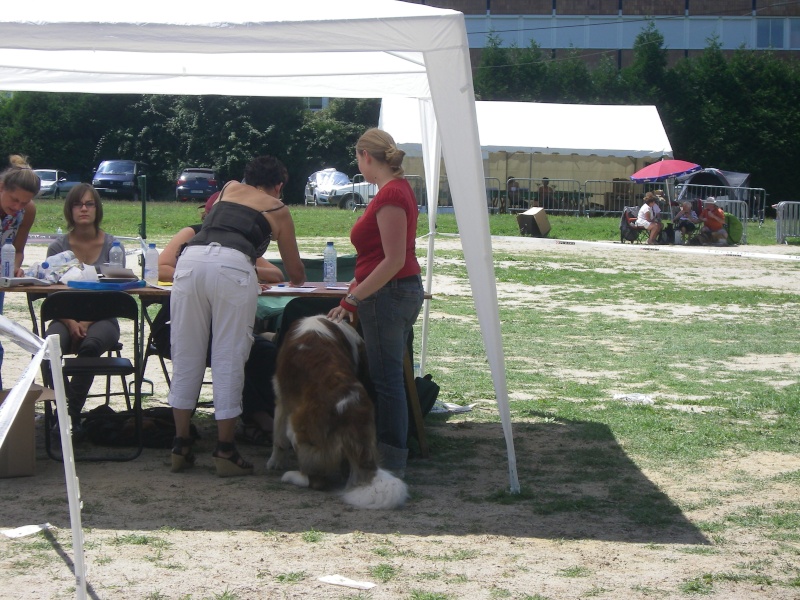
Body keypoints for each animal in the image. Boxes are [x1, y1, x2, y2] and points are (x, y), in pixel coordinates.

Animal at [268, 316, 410, 508]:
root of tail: (348, 410)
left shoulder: (281, 400)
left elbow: (278, 439)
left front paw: (274, 462)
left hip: (297, 429)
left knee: (314, 480)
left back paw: (292, 476)